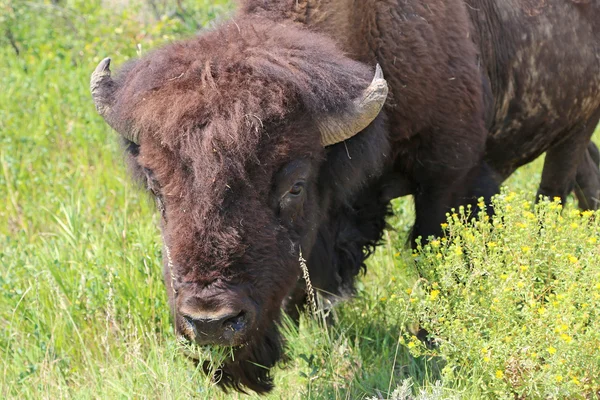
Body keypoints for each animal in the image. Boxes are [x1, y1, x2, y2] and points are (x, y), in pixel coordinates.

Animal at [90, 0, 600, 394]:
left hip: (574, 128)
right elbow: (313, 281)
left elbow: (433, 254)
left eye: (294, 186)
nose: (212, 322)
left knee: (554, 191)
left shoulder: (450, 177)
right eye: (156, 186)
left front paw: (431, 340)